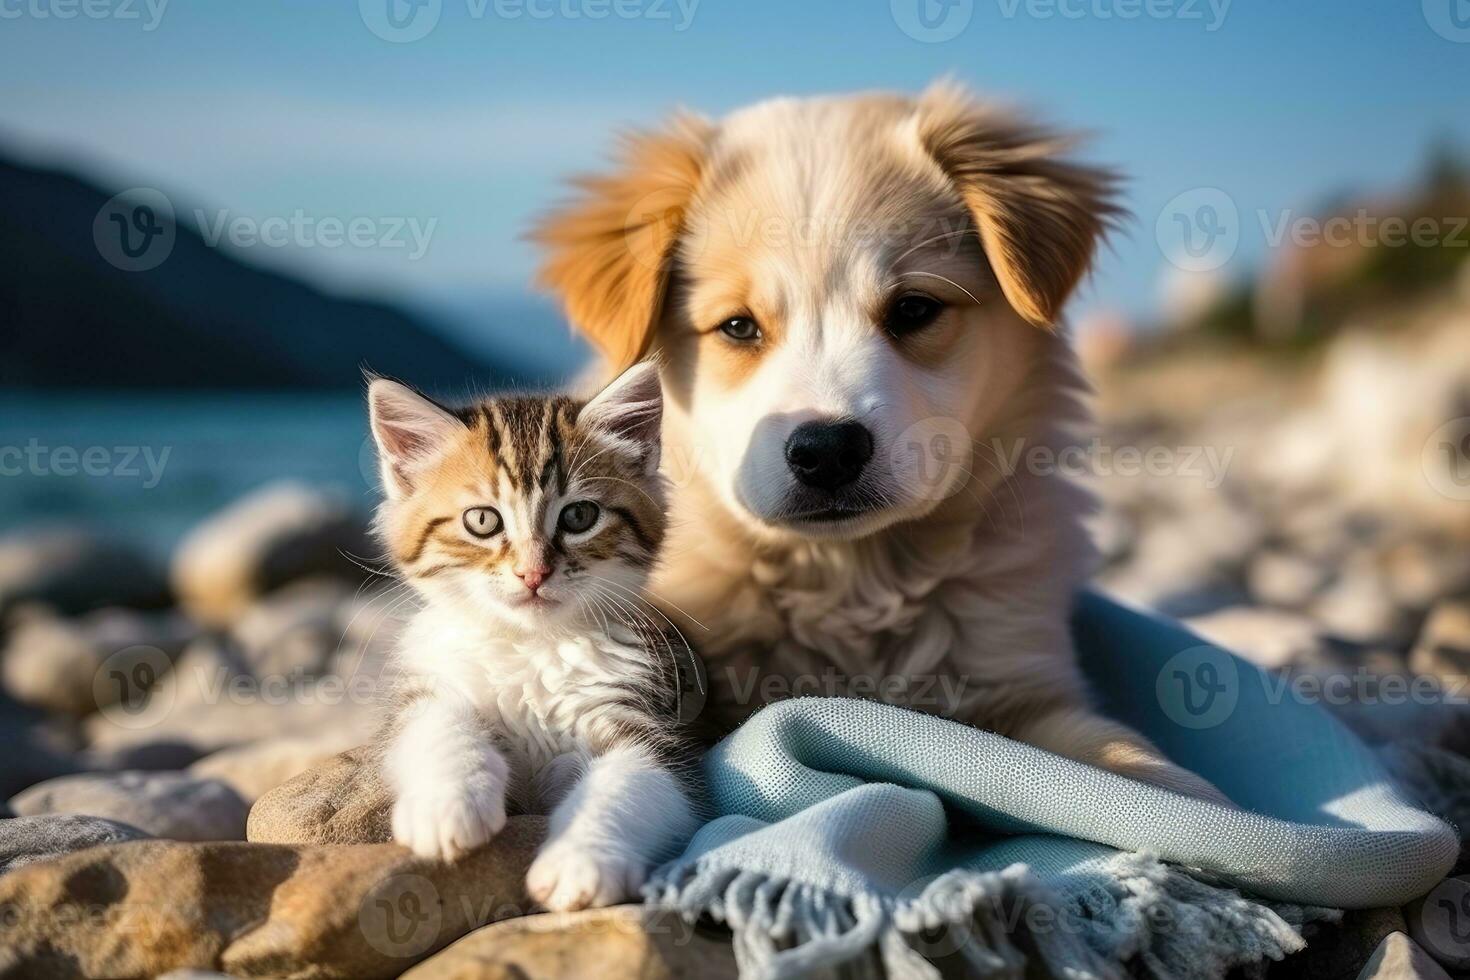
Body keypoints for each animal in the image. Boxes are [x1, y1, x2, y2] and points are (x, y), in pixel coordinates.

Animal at [373, 365, 705, 910]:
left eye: (579, 516)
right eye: (482, 520)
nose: (533, 573)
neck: (530, 646)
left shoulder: (655, 729)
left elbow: (634, 782)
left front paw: (581, 859)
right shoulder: (432, 687)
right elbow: (436, 727)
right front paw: (446, 805)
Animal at [535, 82, 1223, 805]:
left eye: (914, 309)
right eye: (739, 327)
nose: (827, 450)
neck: (851, 576)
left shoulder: (1022, 674)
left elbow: (1128, 763)